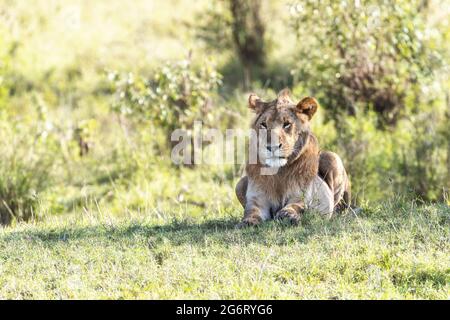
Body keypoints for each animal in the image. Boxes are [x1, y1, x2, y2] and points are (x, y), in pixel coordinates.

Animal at [236, 89, 352, 226]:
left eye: (287, 124)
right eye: (263, 125)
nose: (272, 147)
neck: (278, 173)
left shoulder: (301, 196)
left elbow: (294, 206)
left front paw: (288, 215)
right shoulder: (257, 199)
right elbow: (251, 211)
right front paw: (247, 221)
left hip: (332, 157)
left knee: (339, 206)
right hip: (239, 183)